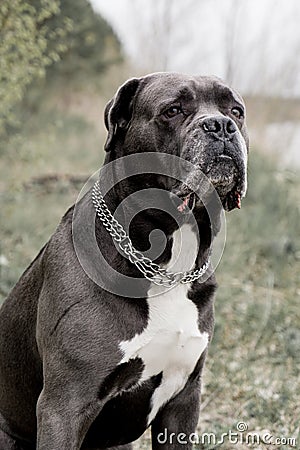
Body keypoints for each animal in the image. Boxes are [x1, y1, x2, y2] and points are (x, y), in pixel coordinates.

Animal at [0, 72, 248, 448]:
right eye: (173, 110)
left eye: (236, 110)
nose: (220, 125)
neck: (166, 264)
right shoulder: (65, 405)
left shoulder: (183, 402)